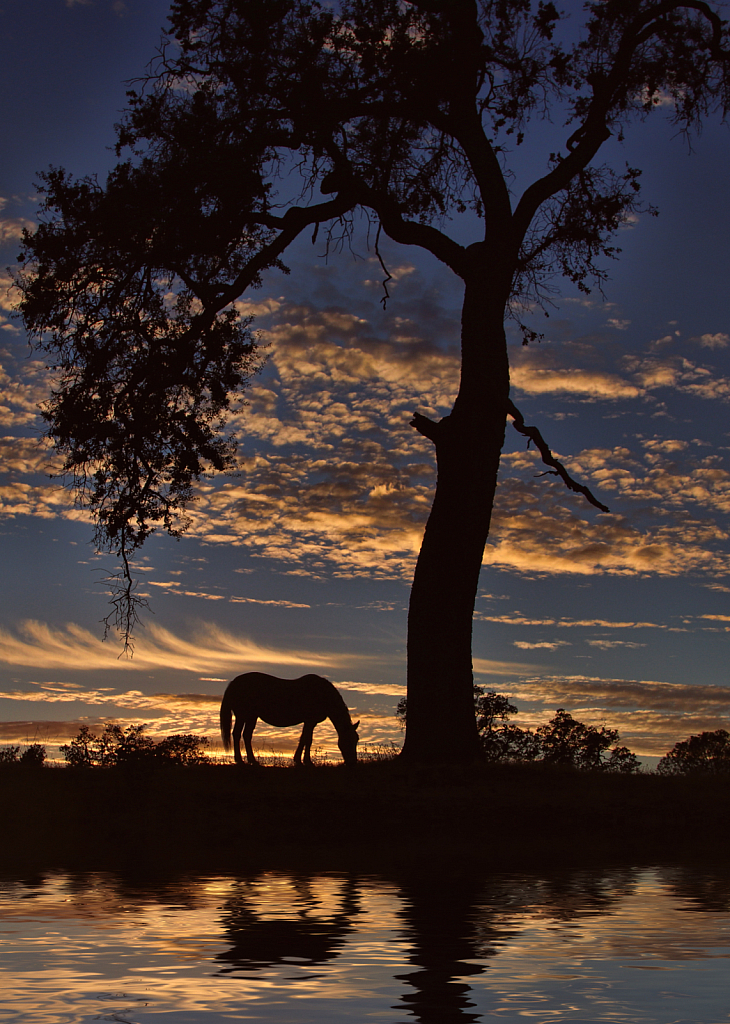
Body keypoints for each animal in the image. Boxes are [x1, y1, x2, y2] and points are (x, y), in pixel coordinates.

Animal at [219, 671, 362, 770]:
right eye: (348, 741)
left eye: (356, 740)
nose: (353, 763)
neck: (322, 694)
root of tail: (234, 683)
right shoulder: (310, 721)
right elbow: (307, 740)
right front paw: (306, 762)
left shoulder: (310, 722)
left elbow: (304, 739)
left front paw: (299, 760)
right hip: (244, 715)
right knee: (238, 734)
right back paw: (241, 760)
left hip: (250, 717)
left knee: (245, 735)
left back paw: (251, 760)